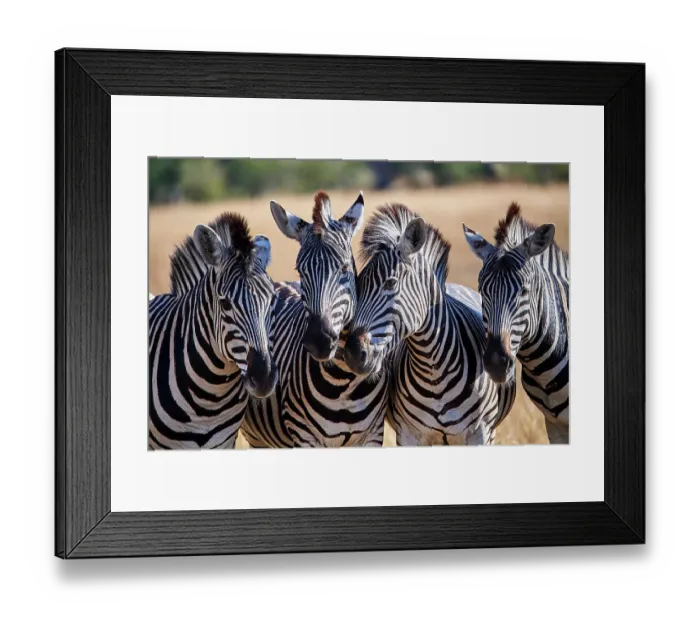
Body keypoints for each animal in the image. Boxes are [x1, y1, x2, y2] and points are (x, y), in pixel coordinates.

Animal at [241, 191, 389, 448]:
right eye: (300, 271)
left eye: (344, 269)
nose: (318, 341)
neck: (343, 382)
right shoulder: (304, 436)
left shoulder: (373, 435)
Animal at [344, 204, 515, 446]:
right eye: (357, 285)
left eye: (390, 283)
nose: (352, 353)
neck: (434, 368)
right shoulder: (408, 433)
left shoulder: (480, 433)